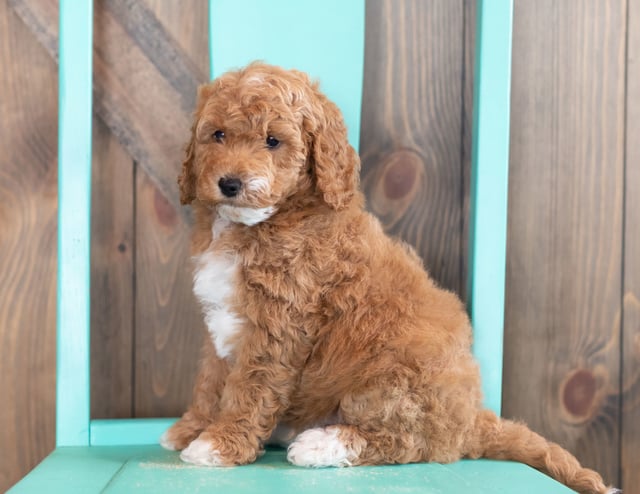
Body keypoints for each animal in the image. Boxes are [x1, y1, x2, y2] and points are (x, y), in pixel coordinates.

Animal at [160, 62, 616, 494]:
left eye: (273, 141)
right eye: (217, 135)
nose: (230, 183)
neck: (262, 222)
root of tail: (472, 417)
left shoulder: (276, 327)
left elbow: (250, 388)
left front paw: (219, 443)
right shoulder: (221, 324)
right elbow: (210, 380)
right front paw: (191, 428)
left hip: (393, 380)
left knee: (406, 441)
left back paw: (322, 443)